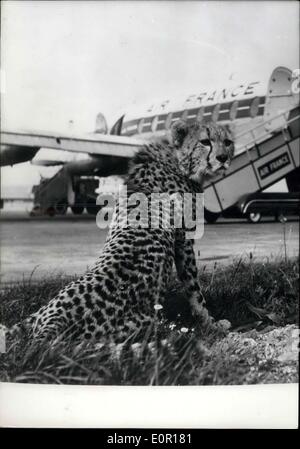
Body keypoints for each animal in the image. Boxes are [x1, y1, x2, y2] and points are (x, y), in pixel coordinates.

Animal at [1, 119, 234, 344]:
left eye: (228, 142)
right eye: (205, 141)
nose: (223, 158)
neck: (176, 160)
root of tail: (53, 321)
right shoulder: (183, 240)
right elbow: (194, 289)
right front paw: (210, 323)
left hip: (40, 312)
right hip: (142, 325)